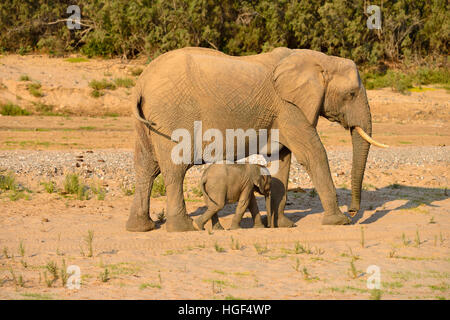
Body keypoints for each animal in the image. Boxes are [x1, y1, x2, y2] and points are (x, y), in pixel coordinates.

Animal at [126, 47, 386, 232]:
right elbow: (313, 154)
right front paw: (339, 222)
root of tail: (141, 83)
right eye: (351, 94)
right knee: (174, 169)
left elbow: (283, 160)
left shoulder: (283, 114)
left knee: (146, 167)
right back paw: (183, 229)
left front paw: (283, 226)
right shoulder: (289, 108)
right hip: (172, 115)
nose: (353, 211)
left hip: (148, 122)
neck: (320, 59)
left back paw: (141, 228)